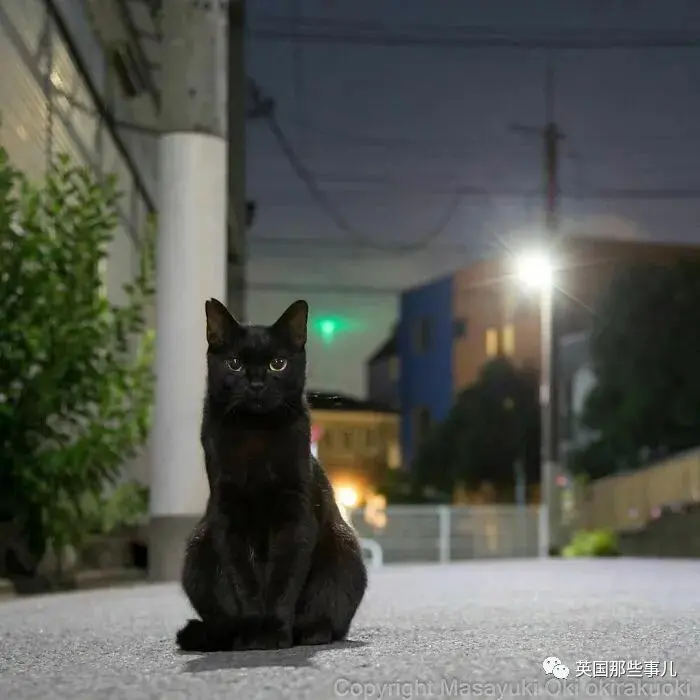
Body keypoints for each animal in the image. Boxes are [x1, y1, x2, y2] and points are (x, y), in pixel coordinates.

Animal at [175, 296, 370, 652]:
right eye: (235, 363)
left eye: (278, 364)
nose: (256, 383)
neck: (256, 434)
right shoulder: (228, 518)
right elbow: (246, 584)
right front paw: (255, 633)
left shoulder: (295, 516)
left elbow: (283, 580)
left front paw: (275, 633)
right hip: (198, 551)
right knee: (221, 621)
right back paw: (230, 636)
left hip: (345, 552)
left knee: (332, 616)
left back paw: (312, 632)